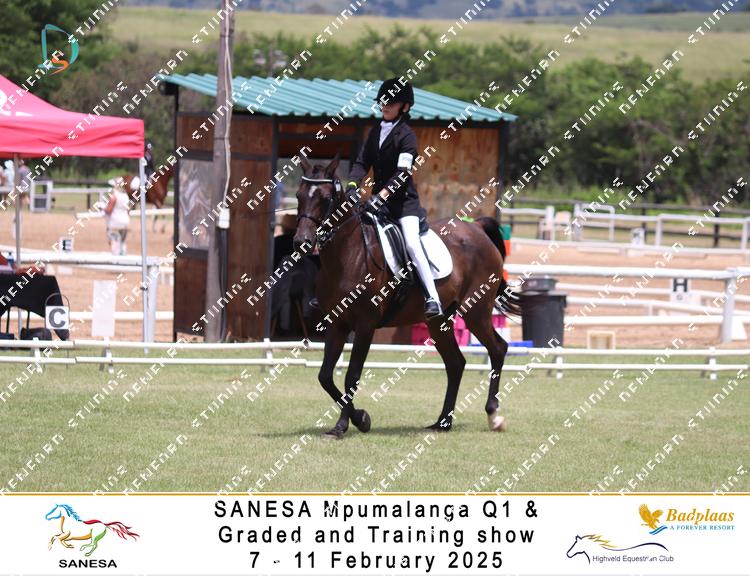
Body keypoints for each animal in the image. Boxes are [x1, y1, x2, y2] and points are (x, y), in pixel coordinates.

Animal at [293, 154, 522, 439]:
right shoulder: (338, 324)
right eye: (299, 195)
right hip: (438, 321)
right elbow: (325, 376)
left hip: (476, 311)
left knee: (498, 349)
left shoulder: (365, 325)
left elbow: (351, 376)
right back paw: (442, 422)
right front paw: (352, 422)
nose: (301, 241)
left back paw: (494, 415)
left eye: (325, 198)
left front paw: (351, 423)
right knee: (456, 363)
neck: (347, 254)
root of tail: (477, 229)